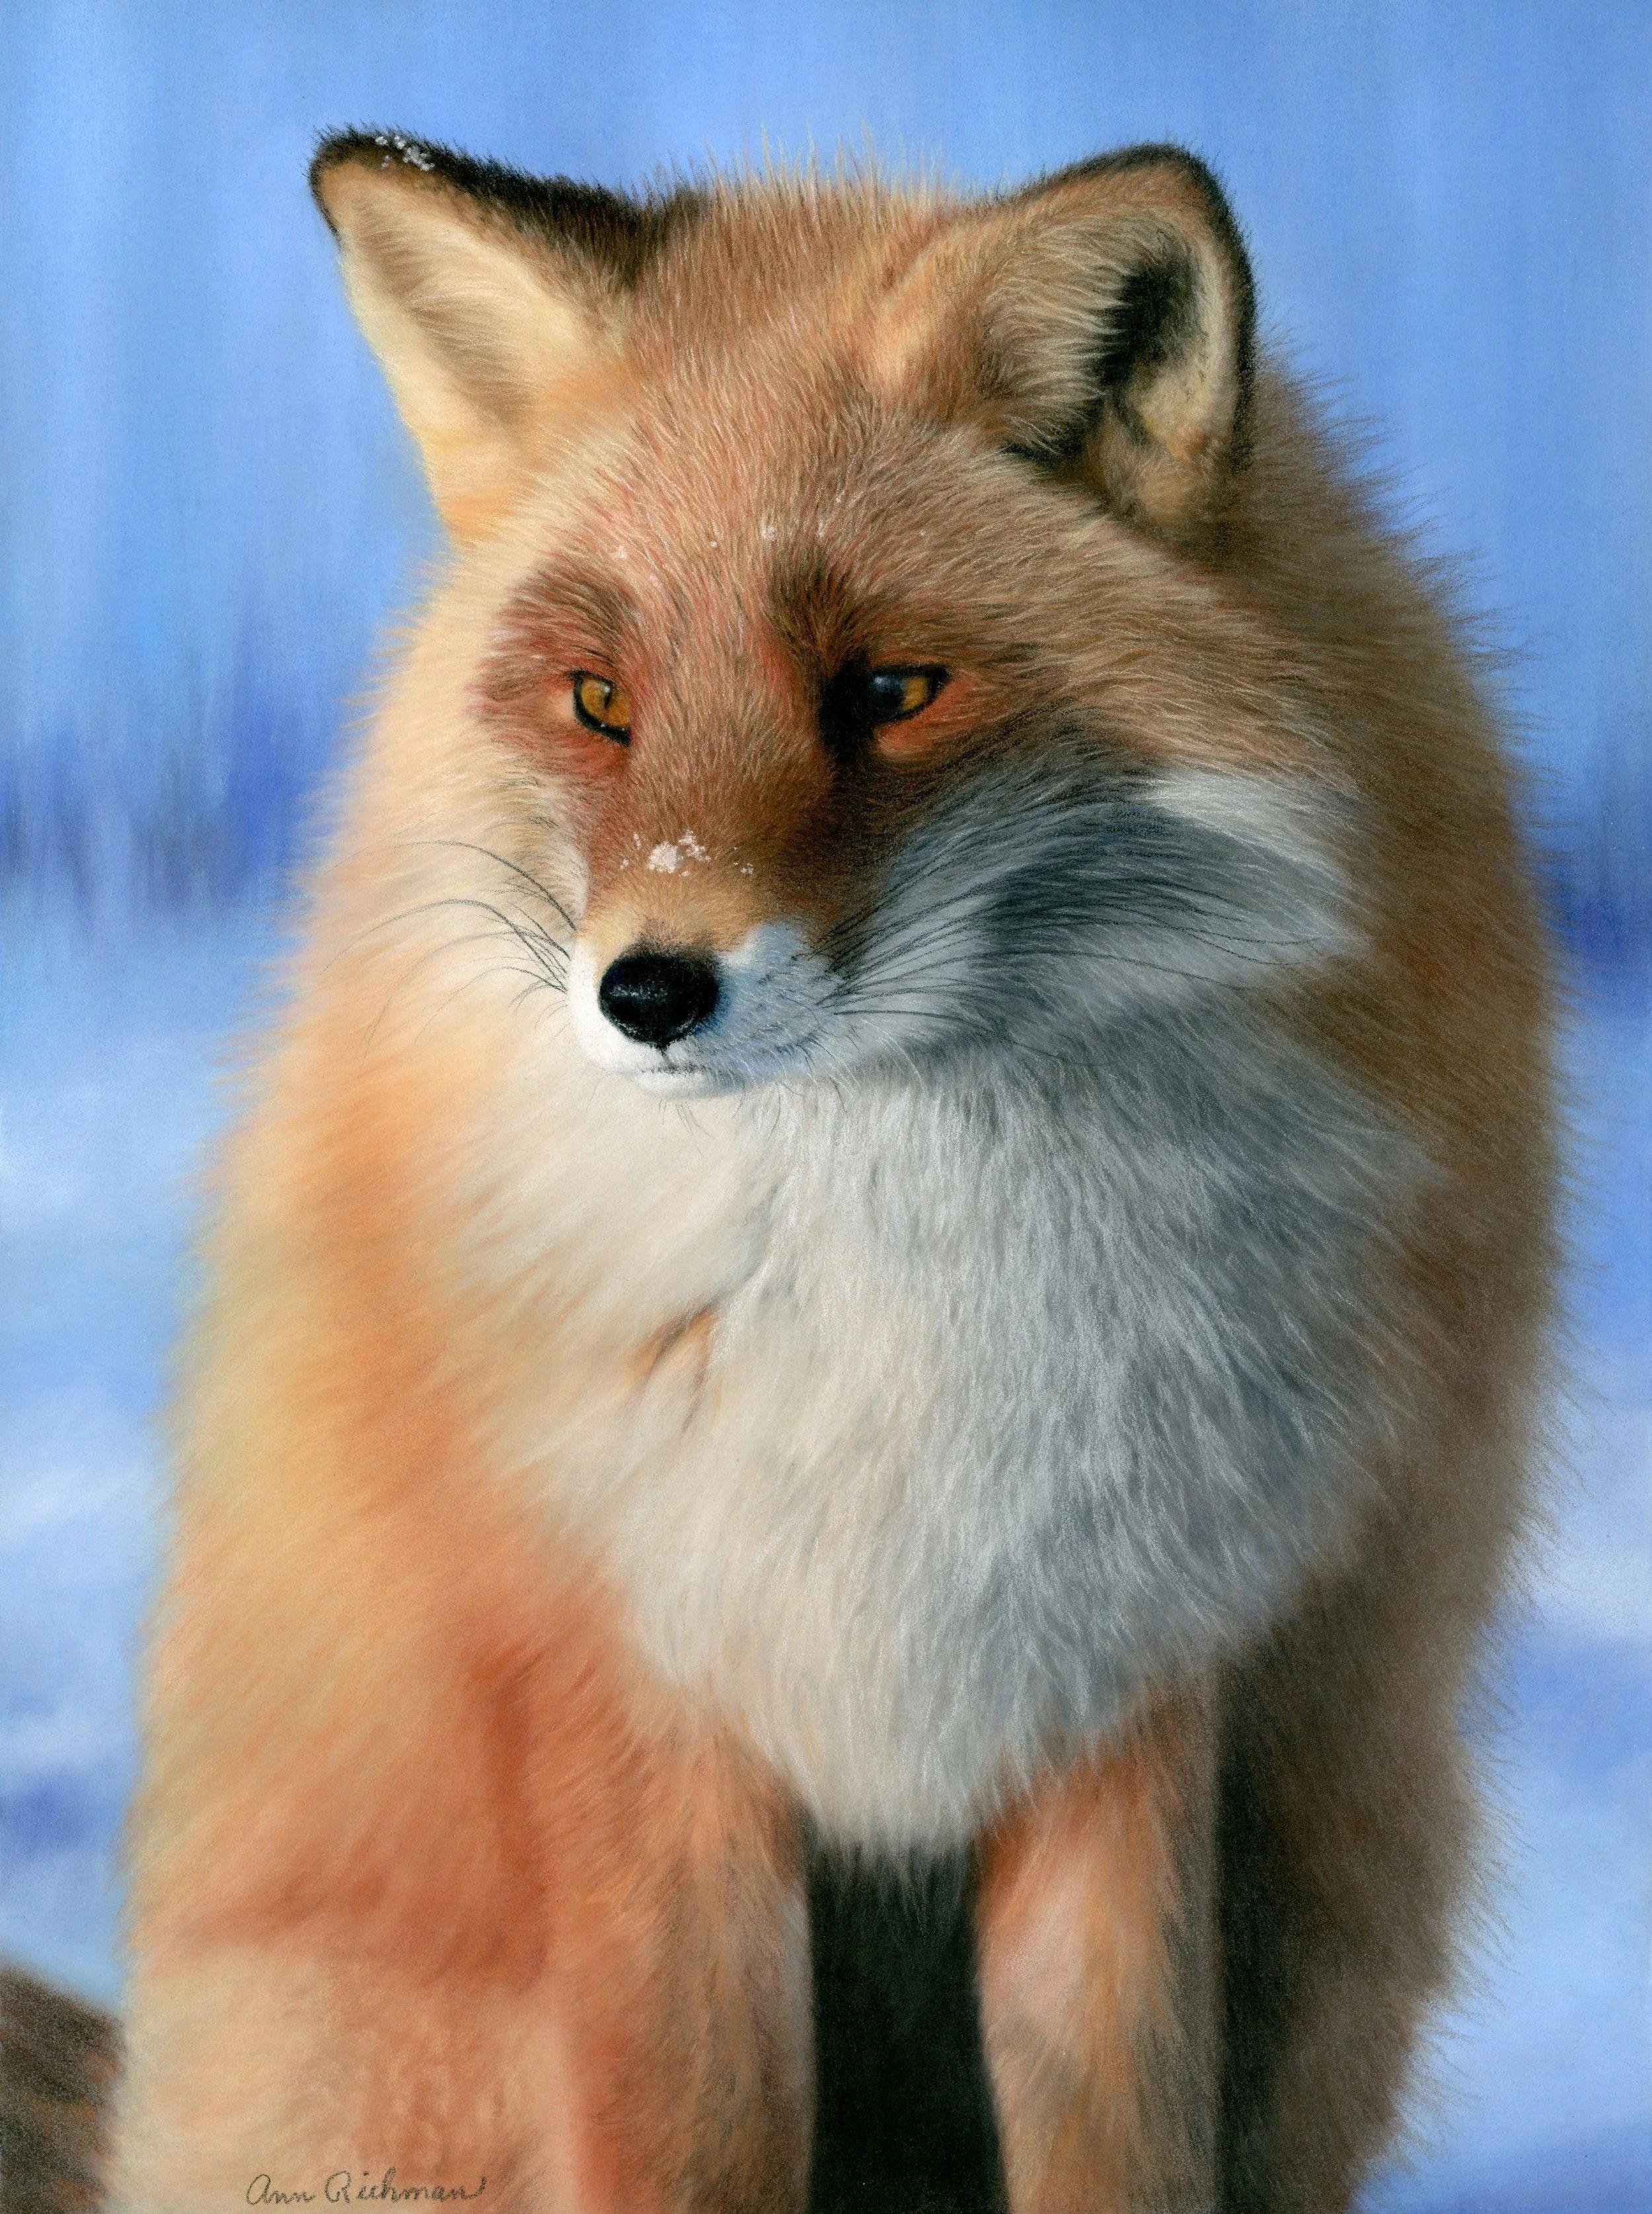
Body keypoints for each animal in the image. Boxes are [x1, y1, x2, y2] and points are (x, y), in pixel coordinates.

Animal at [96, 133, 1557, 2213]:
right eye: (601, 701)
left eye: (888, 689)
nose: (647, 989)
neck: (899, 1329)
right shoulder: (640, 1707)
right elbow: (695, 2136)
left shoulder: (1118, 1694)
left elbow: (1119, 2131)